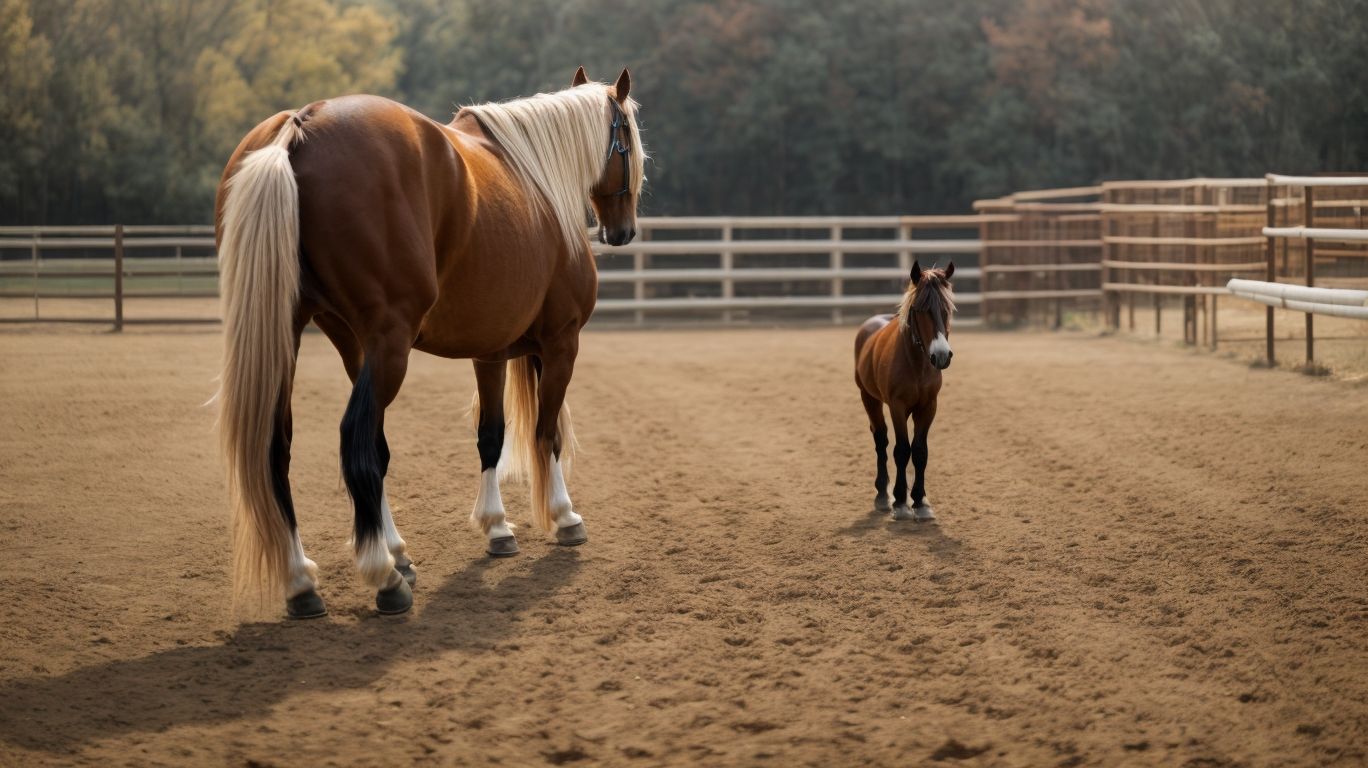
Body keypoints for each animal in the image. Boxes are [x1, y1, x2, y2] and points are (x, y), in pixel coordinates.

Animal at [213, 67, 645, 619]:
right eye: (627, 137)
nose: (623, 230)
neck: (540, 183)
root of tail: (300, 126)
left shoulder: (491, 351)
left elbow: (491, 436)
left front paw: (497, 528)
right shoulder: (561, 343)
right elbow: (547, 432)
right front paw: (564, 516)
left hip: (323, 339)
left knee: (286, 446)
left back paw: (312, 579)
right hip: (388, 345)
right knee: (357, 442)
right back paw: (384, 576)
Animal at [853, 261, 956, 522]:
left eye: (947, 308)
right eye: (920, 309)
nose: (941, 355)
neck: (916, 363)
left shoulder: (929, 407)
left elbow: (919, 451)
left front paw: (919, 501)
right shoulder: (897, 407)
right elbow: (901, 450)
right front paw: (900, 501)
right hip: (869, 398)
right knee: (880, 439)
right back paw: (882, 494)